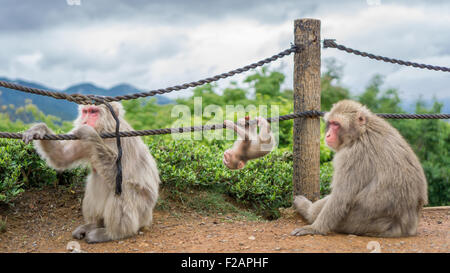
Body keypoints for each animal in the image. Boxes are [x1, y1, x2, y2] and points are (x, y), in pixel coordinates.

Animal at [23, 102, 160, 242]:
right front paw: (40, 129)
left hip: (142, 211)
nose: (85, 121)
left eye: (93, 112)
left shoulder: (121, 140)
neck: (105, 132)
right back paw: (94, 224)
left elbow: (121, 176)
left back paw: (114, 234)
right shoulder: (80, 140)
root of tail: (148, 218)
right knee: (94, 180)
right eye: (85, 112)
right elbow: (62, 156)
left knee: (123, 190)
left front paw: (89, 133)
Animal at [290, 100, 428, 236]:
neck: (361, 133)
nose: (328, 135)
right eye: (331, 123)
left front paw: (315, 228)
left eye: (336, 124)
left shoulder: (352, 155)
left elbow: (341, 198)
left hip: (356, 222)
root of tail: (407, 227)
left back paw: (307, 210)